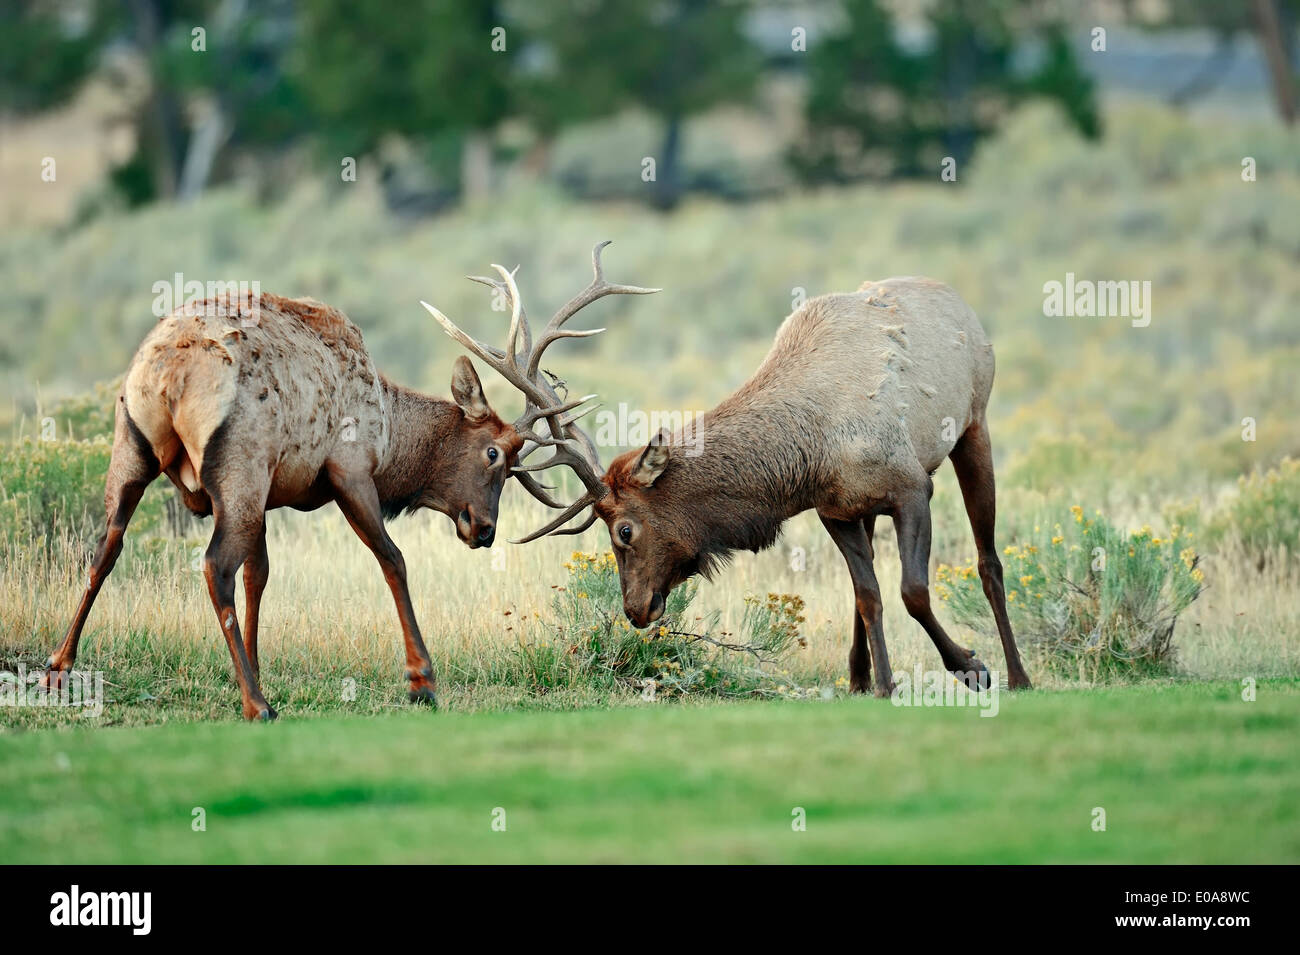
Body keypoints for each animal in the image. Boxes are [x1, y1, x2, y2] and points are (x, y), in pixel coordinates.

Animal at [44, 250, 655, 722]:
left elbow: (260, 576)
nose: (484, 530)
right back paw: (257, 706)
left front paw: (255, 666)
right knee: (213, 566)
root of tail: (172, 375)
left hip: (133, 447)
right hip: (239, 466)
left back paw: (59, 667)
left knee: (107, 546)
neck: (391, 434)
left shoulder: (273, 493)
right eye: (495, 454)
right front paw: (421, 681)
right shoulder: (349, 470)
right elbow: (394, 560)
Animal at [449, 268, 1034, 696]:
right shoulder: (836, 509)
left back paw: (1018, 675)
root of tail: (961, 302)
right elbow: (868, 595)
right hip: (870, 506)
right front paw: (886, 685)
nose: (635, 610)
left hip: (974, 425)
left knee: (989, 561)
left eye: (624, 531)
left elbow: (913, 590)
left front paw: (971, 667)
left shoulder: (912, 487)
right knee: (863, 592)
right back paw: (860, 678)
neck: (811, 452)